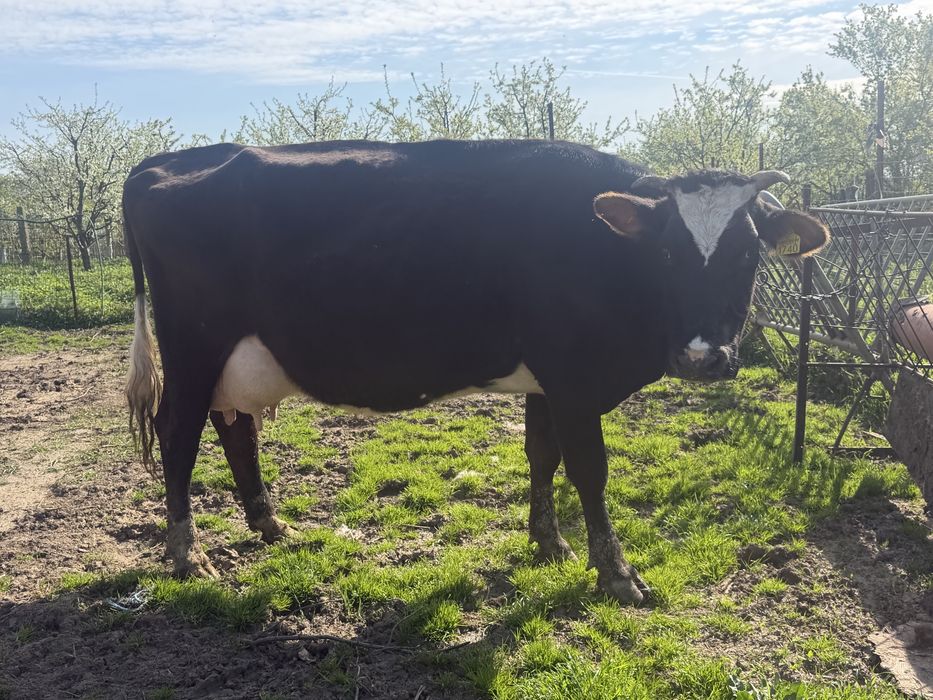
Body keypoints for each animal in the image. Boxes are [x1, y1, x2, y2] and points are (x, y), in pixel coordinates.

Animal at [123, 139, 828, 605]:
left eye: (747, 252)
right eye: (667, 253)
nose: (703, 357)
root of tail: (172, 159)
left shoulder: (547, 380)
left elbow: (542, 457)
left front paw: (549, 544)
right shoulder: (574, 379)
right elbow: (590, 473)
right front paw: (617, 574)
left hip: (233, 361)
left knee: (235, 430)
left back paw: (270, 523)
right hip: (193, 348)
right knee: (179, 435)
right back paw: (187, 554)